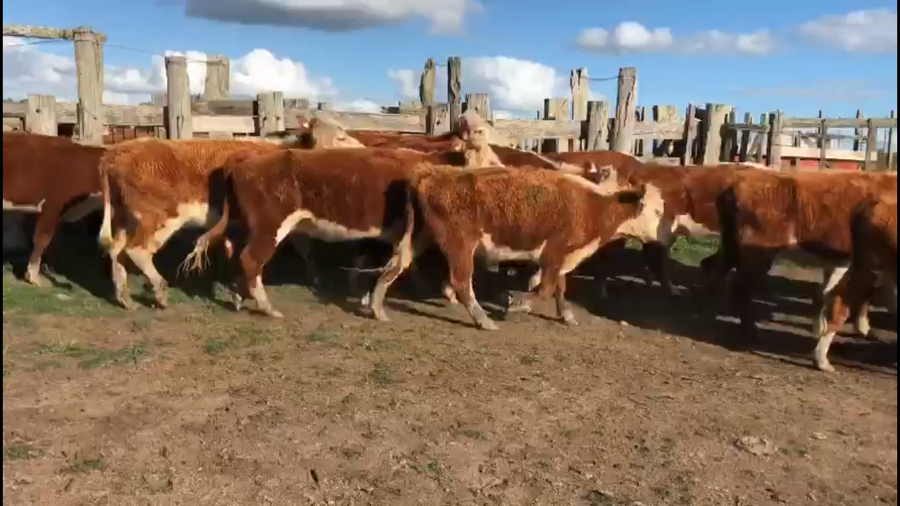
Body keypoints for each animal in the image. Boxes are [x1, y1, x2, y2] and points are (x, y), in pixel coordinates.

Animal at [409, 165, 668, 330]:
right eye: (657, 212)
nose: (665, 239)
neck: (594, 207)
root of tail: (433, 176)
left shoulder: (563, 258)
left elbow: (560, 289)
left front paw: (567, 316)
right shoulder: (554, 254)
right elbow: (545, 289)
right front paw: (516, 303)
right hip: (461, 245)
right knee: (462, 282)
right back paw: (484, 320)